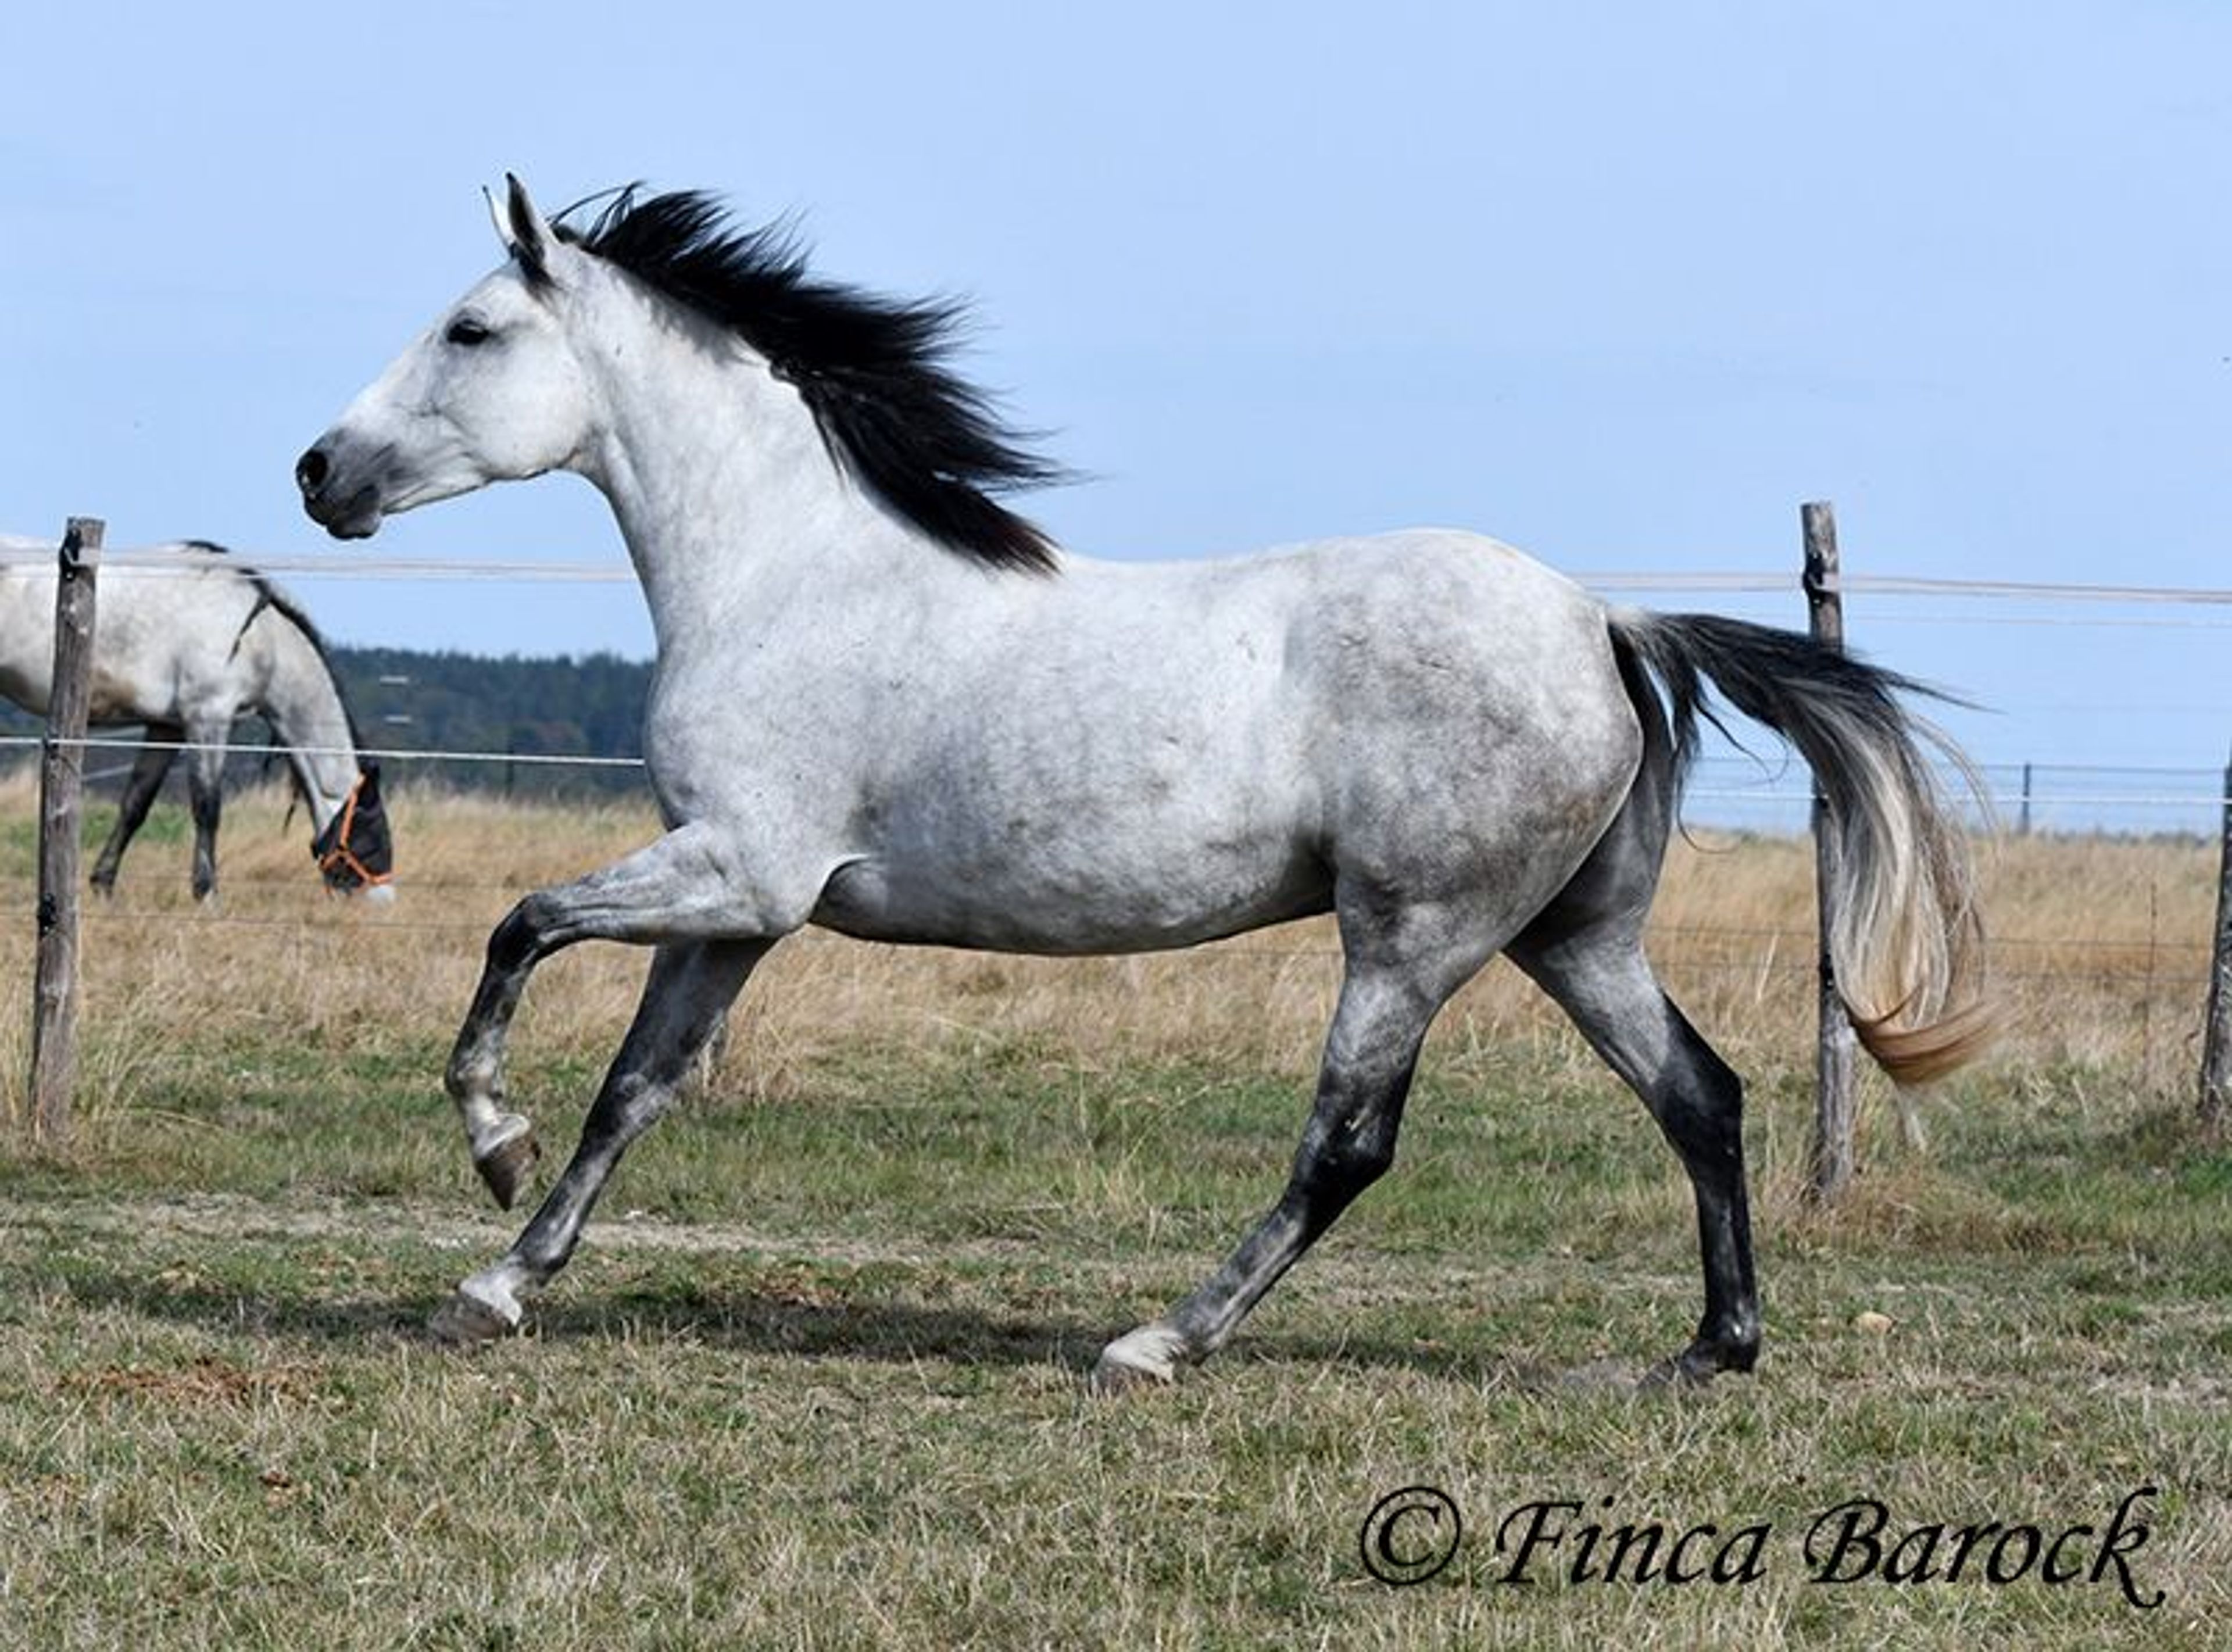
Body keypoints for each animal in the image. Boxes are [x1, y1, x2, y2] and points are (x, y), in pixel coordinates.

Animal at [0, 536, 395, 900]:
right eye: (374, 834)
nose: (384, 902)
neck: (258, 635)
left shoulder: (168, 728)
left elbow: (135, 805)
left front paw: (103, 887)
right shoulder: (208, 719)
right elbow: (207, 808)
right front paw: (207, 894)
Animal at [296, 178, 1989, 1385]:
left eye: (468, 331)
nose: (320, 474)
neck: (789, 576)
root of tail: (1601, 620)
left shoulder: (737, 868)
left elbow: (519, 927)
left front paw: (491, 1147)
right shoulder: (737, 909)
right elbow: (633, 1090)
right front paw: (497, 1284)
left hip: (1413, 938)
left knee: (1348, 1146)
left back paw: (1159, 1340)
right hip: (1571, 935)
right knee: (1699, 1095)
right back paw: (1709, 1350)